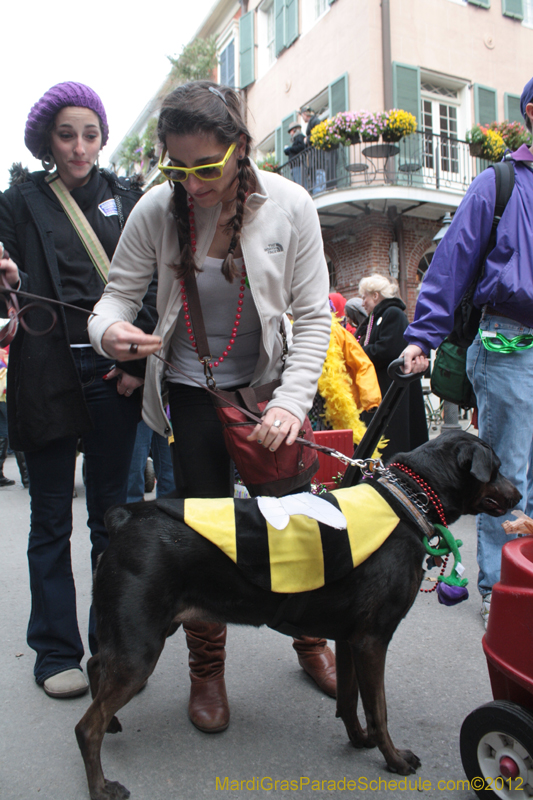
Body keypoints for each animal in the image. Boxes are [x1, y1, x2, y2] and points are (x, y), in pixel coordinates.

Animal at [75, 434, 520, 796]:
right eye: (496, 467)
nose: (518, 496)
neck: (405, 501)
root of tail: (126, 518)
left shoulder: (350, 639)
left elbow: (349, 699)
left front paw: (358, 740)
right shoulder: (373, 640)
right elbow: (378, 710)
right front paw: (393, 759)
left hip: (144, 633)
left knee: (96, 664)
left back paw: (112, 721)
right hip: (140, 647)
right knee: (86, 727)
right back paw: (101, 786)